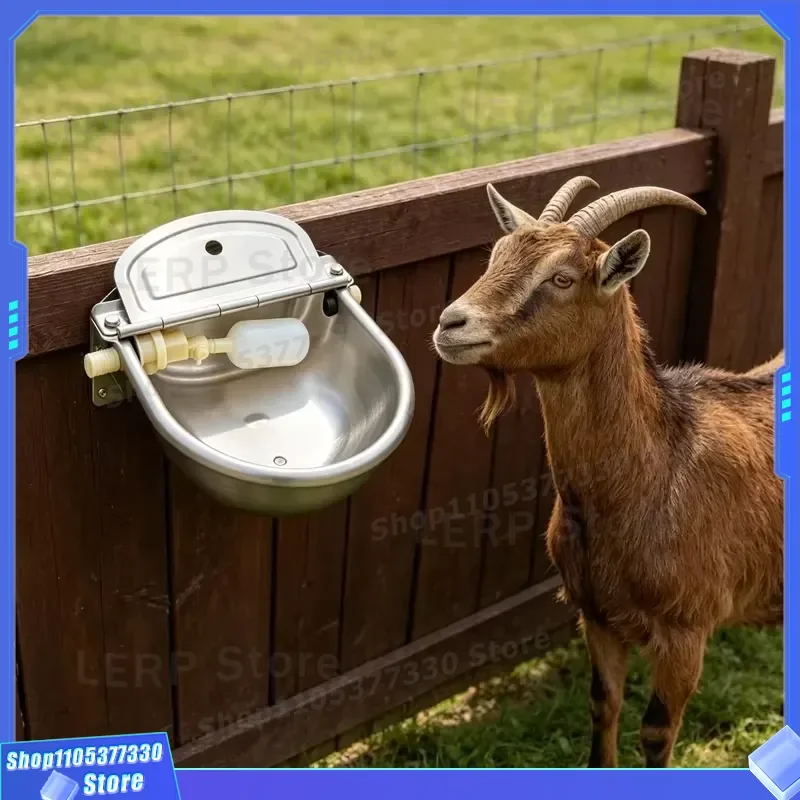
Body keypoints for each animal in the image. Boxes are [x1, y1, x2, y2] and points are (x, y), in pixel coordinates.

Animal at [432, 177, 784, 769]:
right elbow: (603, 705)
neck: (656, 472)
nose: (450, 324)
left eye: (562, 277)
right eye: (497, 255)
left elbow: (658, 733)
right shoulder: (595, 615)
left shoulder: (687, 630)